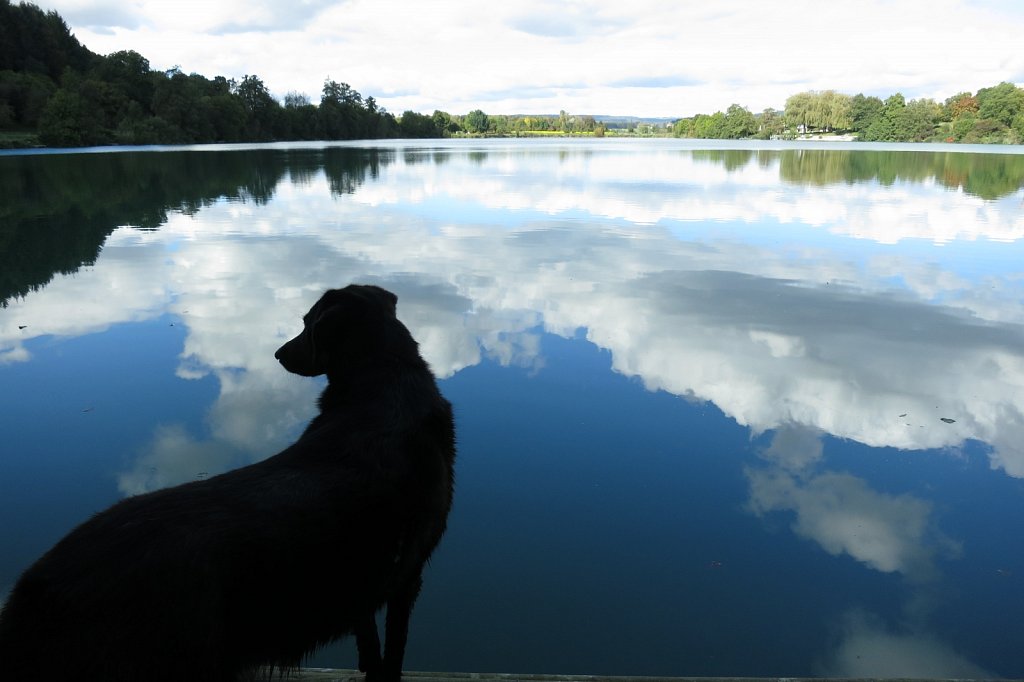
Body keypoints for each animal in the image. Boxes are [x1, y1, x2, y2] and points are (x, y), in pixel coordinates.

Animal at [0, 284, 456, 679]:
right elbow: (390, 652)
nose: (278, 353)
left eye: (307, 323)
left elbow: (373, 643)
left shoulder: (374, 576)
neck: (382, 382)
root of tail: (33, 588)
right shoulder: (405, 574)